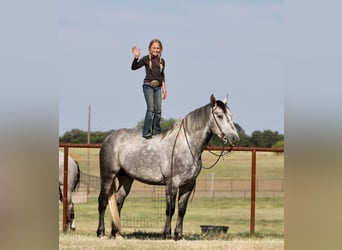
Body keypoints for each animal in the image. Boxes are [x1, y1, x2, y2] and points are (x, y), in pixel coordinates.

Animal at [96, 94, 240, 240]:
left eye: (231, 115)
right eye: (219, 115)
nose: (235, 138)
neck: (187, 145)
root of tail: (109, 137)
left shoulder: (188, 185)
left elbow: (182, 210)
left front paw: (179, 235)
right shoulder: (172, 183)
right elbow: (170, 209)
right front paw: (167, 234)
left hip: (126, 179)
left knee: (118, 203)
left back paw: (117, 233)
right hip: (108, 176)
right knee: (103, 201)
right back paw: (101, 233)